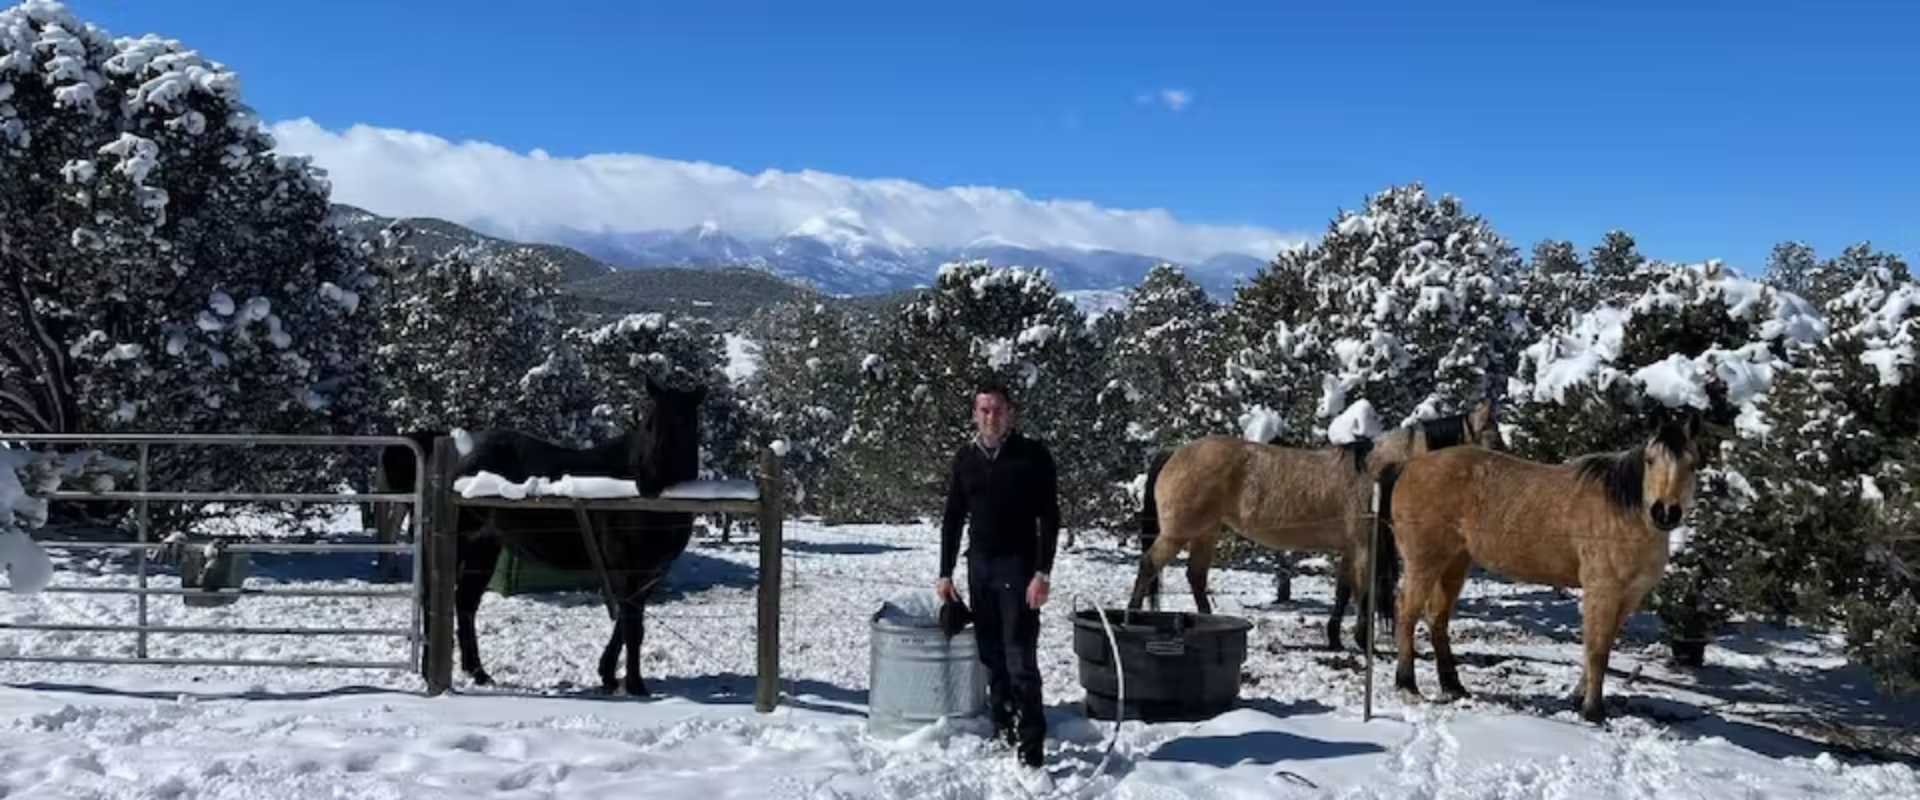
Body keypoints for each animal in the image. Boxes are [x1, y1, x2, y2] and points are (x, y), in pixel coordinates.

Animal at [419, 375, 707, 696]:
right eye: (647, 423)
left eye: (683, 423)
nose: (647, 482)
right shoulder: (626, 568)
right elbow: (632, 626)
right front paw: (634, 685)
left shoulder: (649, 574)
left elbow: (625, 623)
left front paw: (608, 674)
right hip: (456, 544)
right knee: (434, 603)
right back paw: (429, 672)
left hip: (483, 548)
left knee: (466, 604)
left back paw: (478, 673)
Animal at [1131, 401, 1501, 652]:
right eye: (1493, 440)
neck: (1375, 472)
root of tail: (1175, 452)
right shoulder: (1364, 546)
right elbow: (1363, 593)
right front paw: (1363, 642)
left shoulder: (1351, 548)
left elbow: (1343, 591)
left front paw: (1335, 638)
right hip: (1179, 533)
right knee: (1149, 565)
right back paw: (1131, 616)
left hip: (1205, 533)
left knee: (1195, 576)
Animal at [1383, 406, 1703, 724]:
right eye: (1650, 460)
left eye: (1692, 464)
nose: (1666, 512)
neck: (1625, 514)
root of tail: (1409, 466)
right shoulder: (1602, 591)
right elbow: (1597, 650)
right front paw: (1592, 711)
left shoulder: (1627, 598)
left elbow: (1602, 645)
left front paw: (1578, 699)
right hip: (1423, 563)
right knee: (1406, 611)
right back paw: (1407, 684)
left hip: (1454, 563)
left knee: (1437, 617)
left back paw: (1453, 686)